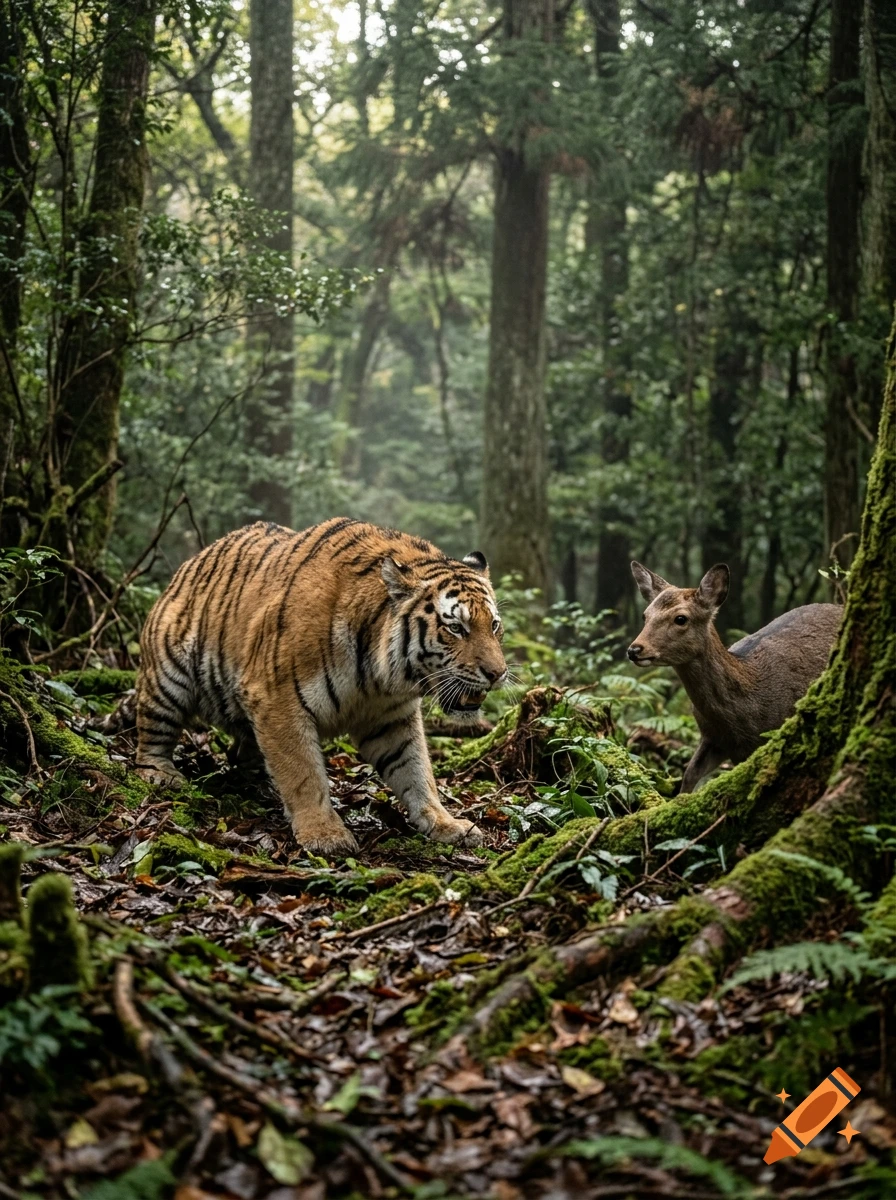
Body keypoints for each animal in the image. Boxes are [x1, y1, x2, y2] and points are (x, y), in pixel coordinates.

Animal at [135, 518, 507, 856]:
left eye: (494, 625)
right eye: (456, 628)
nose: (498, 673)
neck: (382, 677)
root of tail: (191, 562)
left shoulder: (392, 718)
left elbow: (416, 773)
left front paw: (446, 823)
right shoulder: (278, 700)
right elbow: (303, 772)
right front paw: (324, 833)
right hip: (168, 675)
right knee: (152, 730)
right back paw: (161, 773)